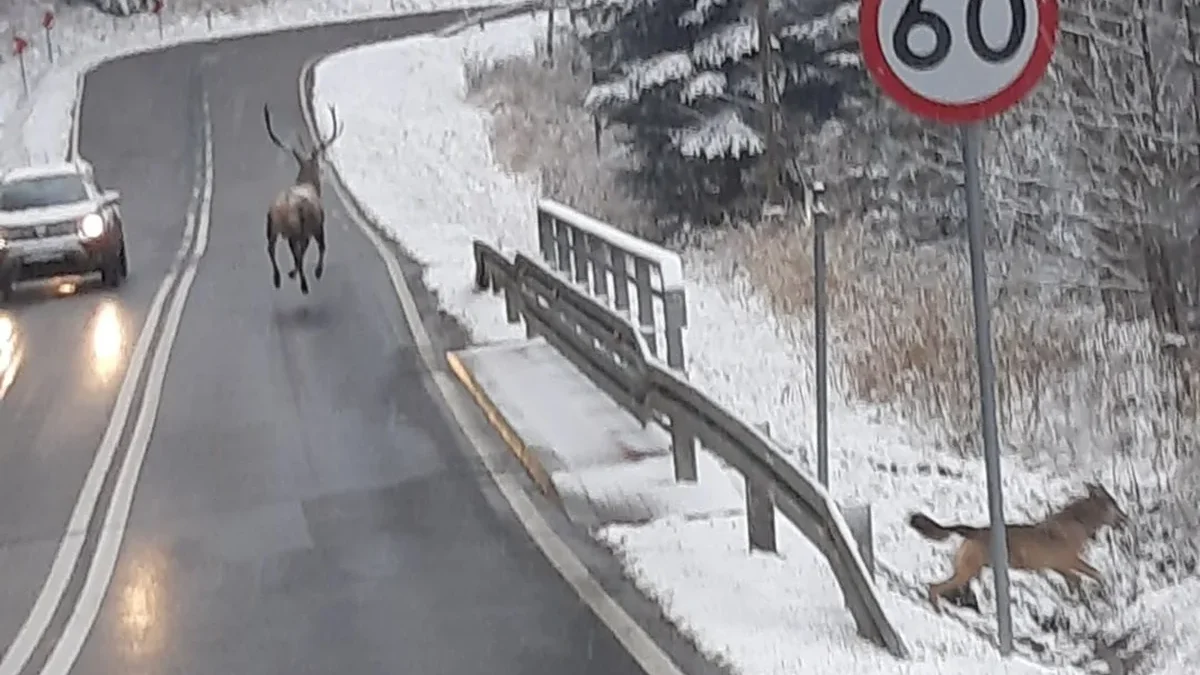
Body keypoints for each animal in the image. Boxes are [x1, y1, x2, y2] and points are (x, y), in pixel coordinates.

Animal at [260, 103, 340, 293]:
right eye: (317, 165)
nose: (321, 171)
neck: (308, 183)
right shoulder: (317, 225)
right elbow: (321, 247)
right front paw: (316, 271)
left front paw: (292, 273)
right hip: (298, 229)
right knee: (299, 253)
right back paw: (303, 283)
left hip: (272, 226)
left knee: (271, 248)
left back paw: (278, 278)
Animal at [912, 480, 1128, 607]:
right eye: (1114, 504)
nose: (1126, 517)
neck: (1080, 521)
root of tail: (971, 531)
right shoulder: (1070, 562)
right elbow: (1095, 574)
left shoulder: (1060, 567)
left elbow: (1077, 582)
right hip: (967, 571)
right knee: (935, 588)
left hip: (967, 571)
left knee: (939, 587)